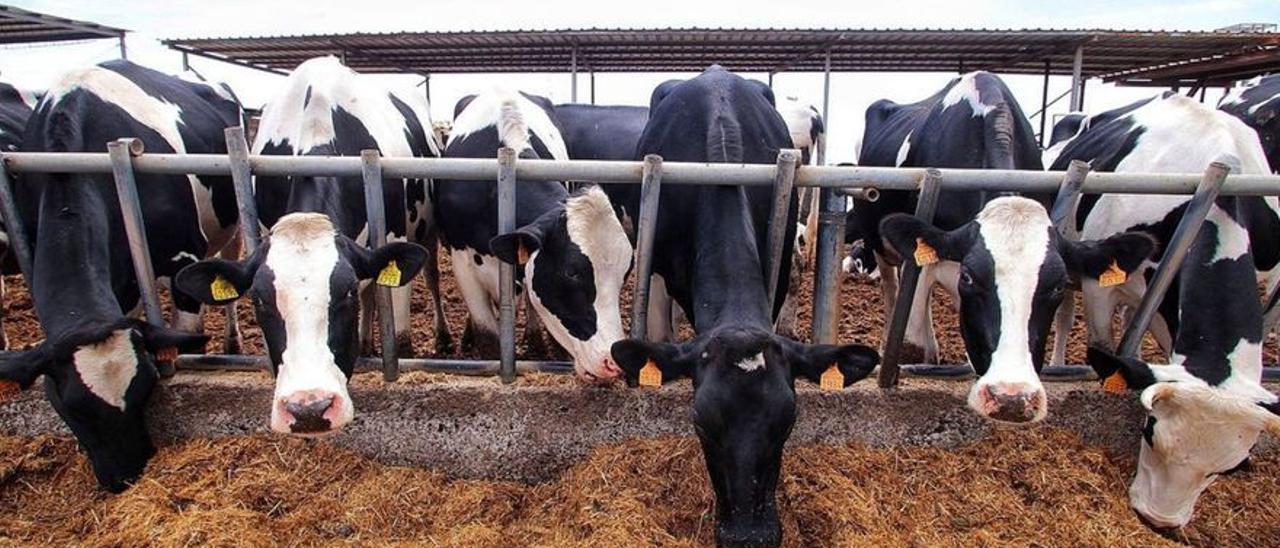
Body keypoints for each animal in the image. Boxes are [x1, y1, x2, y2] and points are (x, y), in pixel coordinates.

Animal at [0, 61, 241, 491]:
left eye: (143, 388)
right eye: (71, 407)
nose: (126, 475)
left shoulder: (183, 251)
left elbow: (183, 331)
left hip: (230, 227)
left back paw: (232, 342)